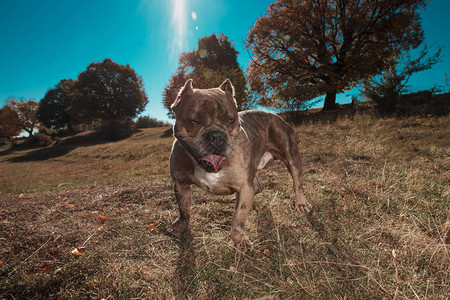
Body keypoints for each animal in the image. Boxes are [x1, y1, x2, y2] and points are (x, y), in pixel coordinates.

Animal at [167, 78, 312, 247]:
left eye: (231, 120)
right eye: (194, 121)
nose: (216, 136)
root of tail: (277, 116)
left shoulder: (244, 186)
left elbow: (239, 216)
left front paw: (238, 239)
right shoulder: (180, 184)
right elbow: (183, 209)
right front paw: (180, 225)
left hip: (291, 156)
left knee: (297, 182)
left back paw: (302, 203)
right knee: (257, 186)